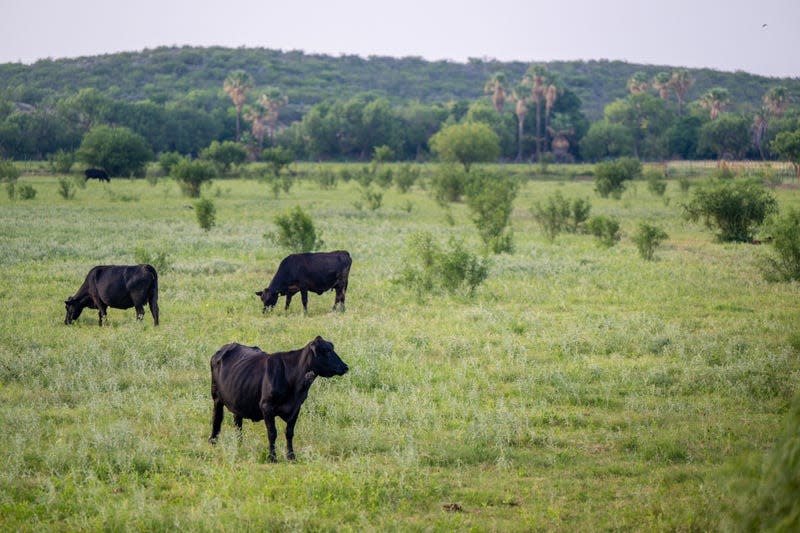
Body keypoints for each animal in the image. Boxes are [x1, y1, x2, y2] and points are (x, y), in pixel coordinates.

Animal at [209, 334, 350, 460]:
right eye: (327, 351)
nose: (345, 367)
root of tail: (225, 347)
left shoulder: (296, 407)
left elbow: (289, 432)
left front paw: (291, 456)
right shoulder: (266, 406)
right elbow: (272, 433)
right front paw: (272, 457)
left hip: (238, 399)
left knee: (238, 423)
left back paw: (240, 445)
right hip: (216, 397)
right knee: (217, 418)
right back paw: (213, 442)